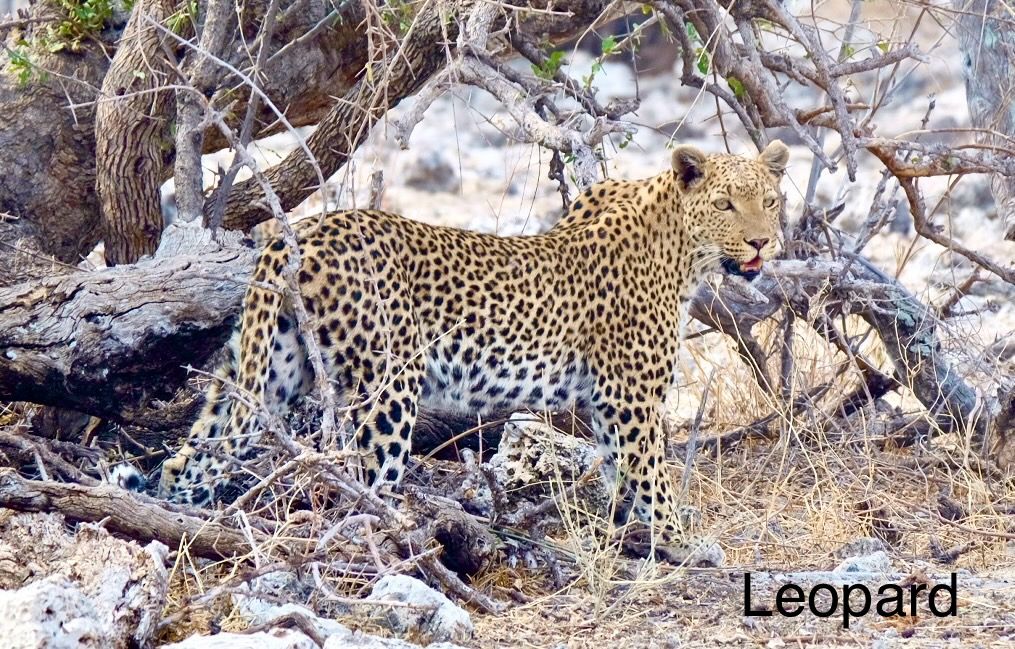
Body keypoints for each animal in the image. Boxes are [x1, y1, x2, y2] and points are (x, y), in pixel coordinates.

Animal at [160, 141, 791, 564]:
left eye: (770, 200)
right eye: (726, 205)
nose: (763, 242)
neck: (683, 250)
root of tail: (300, 233)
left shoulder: (609, 402)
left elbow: (619, 471)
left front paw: (623, 537)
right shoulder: (630, 395)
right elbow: (651, 473)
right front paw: (682, 543)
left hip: (270, 370)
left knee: (194, 455)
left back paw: (180, 517)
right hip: (387, 386)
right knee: (364, 488)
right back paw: (400, 546)